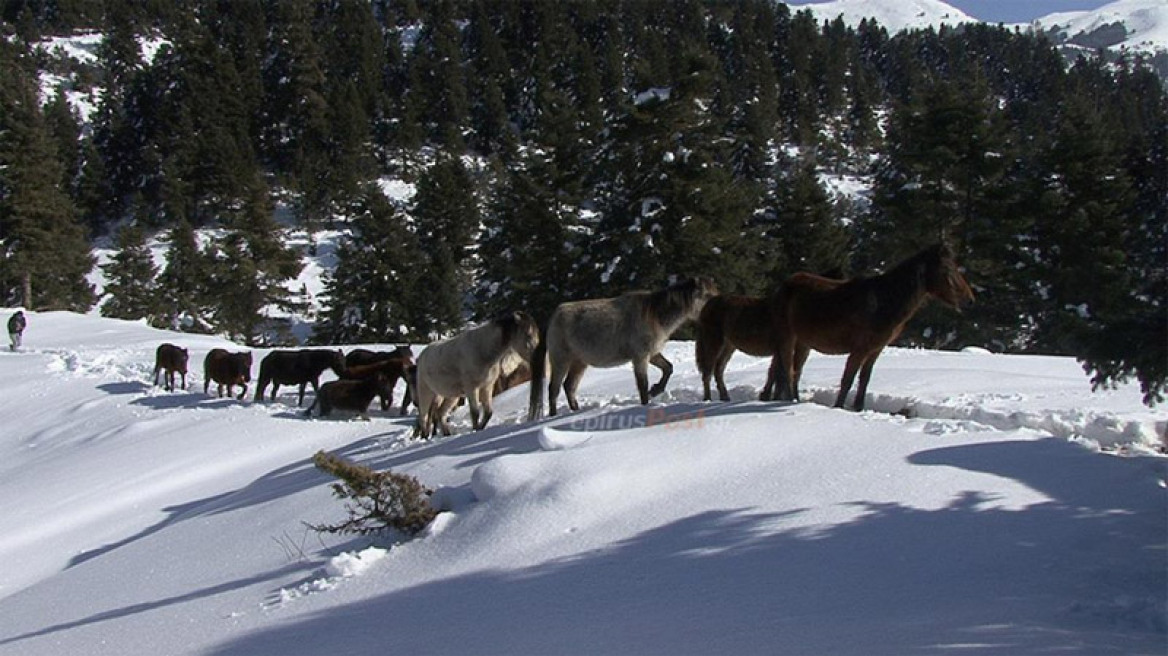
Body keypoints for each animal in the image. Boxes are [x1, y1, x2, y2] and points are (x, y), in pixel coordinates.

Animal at [413, 308, 539, 436]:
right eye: (528, 335)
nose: (537, 357)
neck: (483, 351)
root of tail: (422, 355)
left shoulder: (487, 387)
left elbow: (488, 412)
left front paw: (479, 429)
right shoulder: (472, 389)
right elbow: (475, 413)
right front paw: (475, 430)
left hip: (450, 395)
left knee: (440, 413)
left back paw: (446, 434)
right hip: (426, 392)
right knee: (423, 416)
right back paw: (425, 436)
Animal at [532, 275, 719, 417]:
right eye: (707, 296)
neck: (654, 315)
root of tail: (553, 317)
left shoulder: (652, 354)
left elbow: (668, 368)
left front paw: (655, 390)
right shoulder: (640, 357)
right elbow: (642, 384)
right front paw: (646, 402)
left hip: (579, 363)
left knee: (569, 387)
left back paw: (576, 411)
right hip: (561, 360)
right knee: (554, 389)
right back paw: (554, 415)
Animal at [770, 242, 971, 410]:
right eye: (947, 269)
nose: (968, 299)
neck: (884, 302)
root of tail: (787, 284)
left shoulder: (875, 349)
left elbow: (864, 379)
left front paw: (858, 407)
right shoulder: (859, 349)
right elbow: (848, 380)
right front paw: (839, 407)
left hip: (803, 342)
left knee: (794, 371)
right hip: (787, 337)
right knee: (787, 370)